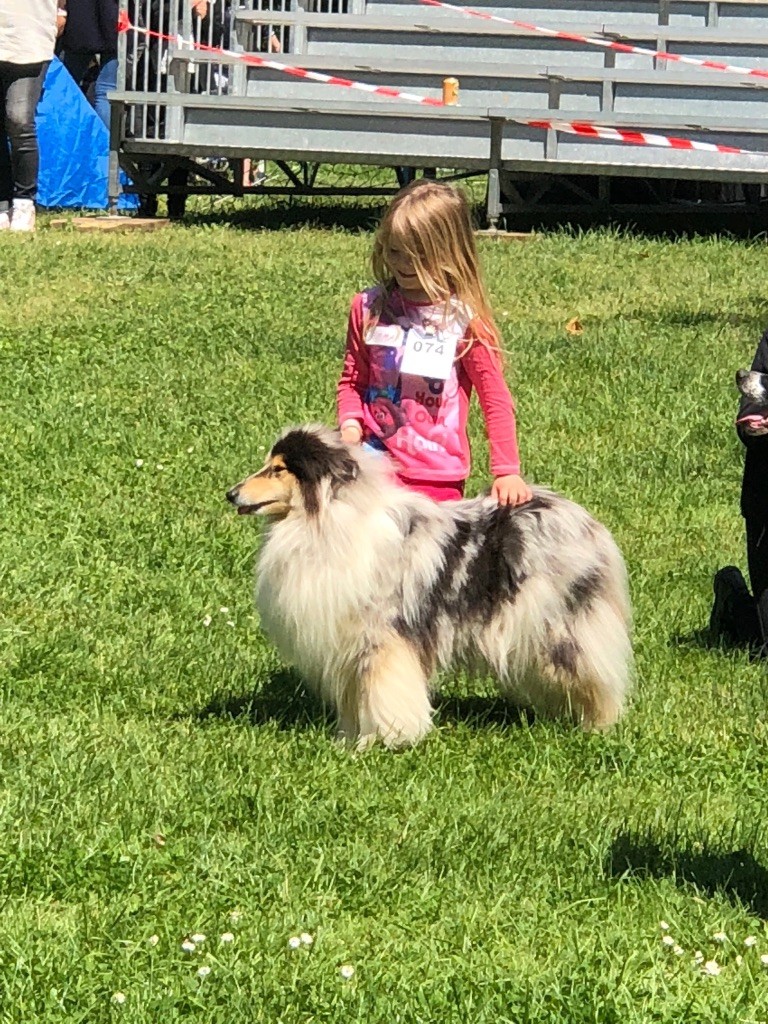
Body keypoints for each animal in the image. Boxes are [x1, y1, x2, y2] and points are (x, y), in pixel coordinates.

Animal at [225, 425, 634, 753]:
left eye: (279, 469)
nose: (230, 494)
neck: (327, 521)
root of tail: (589, 524)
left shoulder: (384, 641)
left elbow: (383, 692)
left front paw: (389, 739)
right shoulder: (352, 643)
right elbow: (357, 698)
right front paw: (350, 741)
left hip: (561, 628)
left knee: (596, 674)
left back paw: (599, 726)